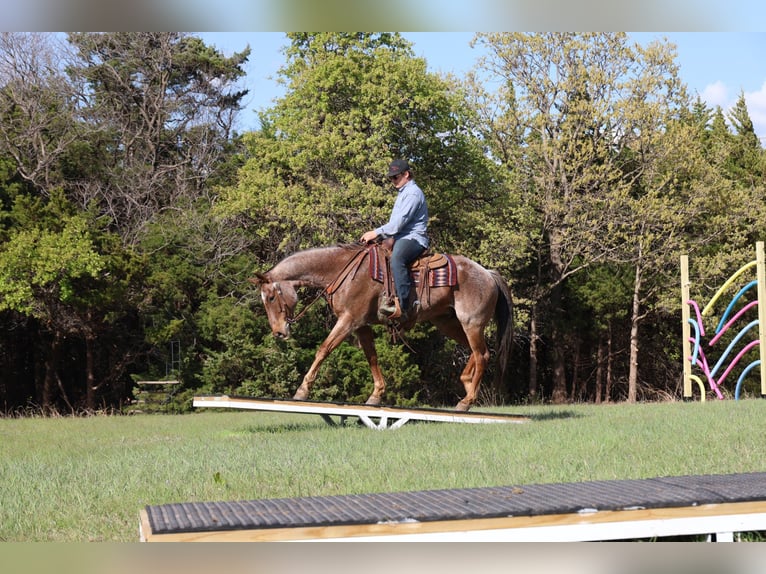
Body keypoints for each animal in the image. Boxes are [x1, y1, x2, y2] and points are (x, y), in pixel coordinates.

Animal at [249, 243, 513, 411]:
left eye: (270, 297)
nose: (279, 332)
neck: (341, 271)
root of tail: (487, 273)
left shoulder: (349, 320)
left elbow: (323, 349)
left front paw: (302, 391)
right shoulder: (361, 326)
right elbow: (372, 357)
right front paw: (376, 395)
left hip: (472, 323)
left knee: (482, 354)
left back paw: (466, 401)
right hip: (447, 322)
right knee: (475, 352)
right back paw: (466, 383)